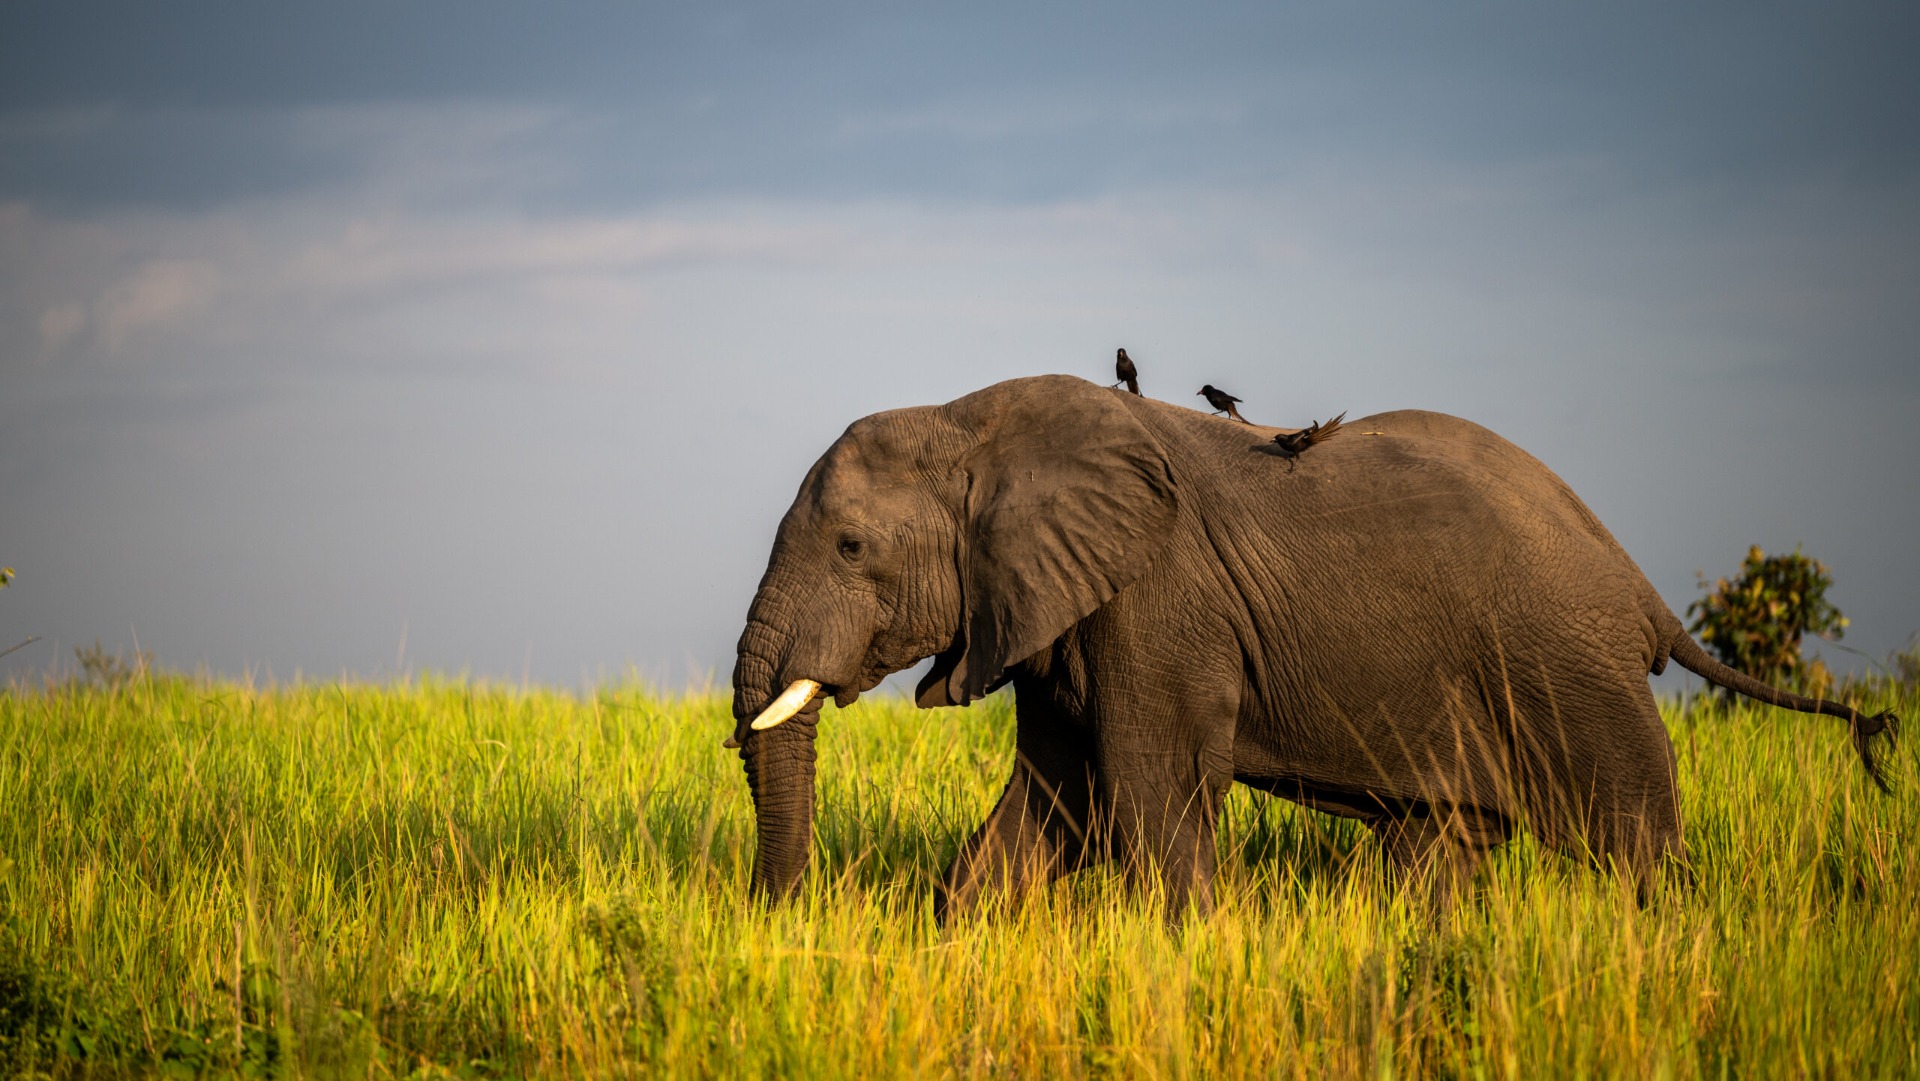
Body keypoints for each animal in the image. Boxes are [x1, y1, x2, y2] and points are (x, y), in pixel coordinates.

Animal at [726, 374, 1897, 919]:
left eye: (850, 545)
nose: (778, 918)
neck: (968, 415)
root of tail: (1643, 591)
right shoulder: (1054, 611)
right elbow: (1050, 803)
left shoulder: (1157, 599)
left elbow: (1144, 789)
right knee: (1438, 843)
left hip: (1575, 672)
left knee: (1638, 844)